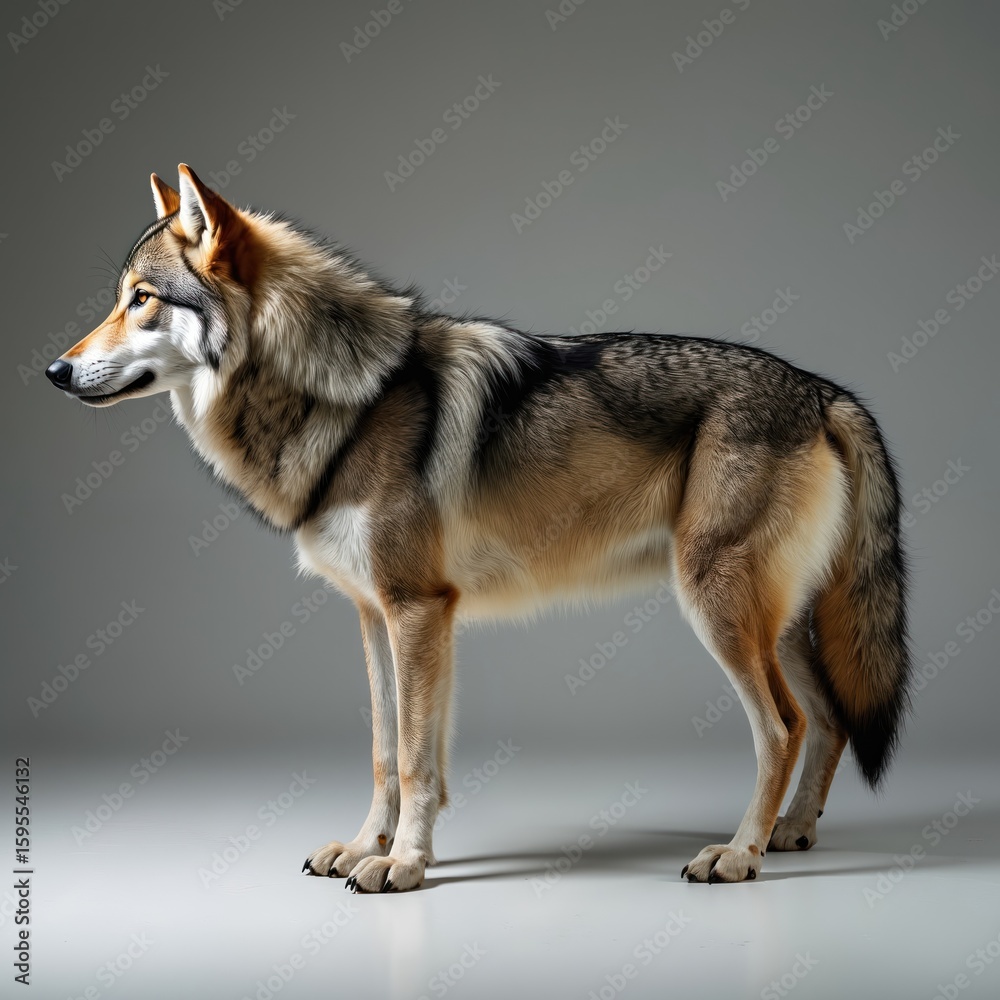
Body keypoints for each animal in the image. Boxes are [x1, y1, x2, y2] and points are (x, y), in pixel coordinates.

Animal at [45, 165, 911, 890]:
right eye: (119, 297)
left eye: (142, 299)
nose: (53, 370)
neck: (351, 400)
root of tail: (822, 389)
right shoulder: (380, 616)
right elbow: (388, 753)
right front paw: (367, 848)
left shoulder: (418, 611)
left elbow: (416, 762)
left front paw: (401, 867)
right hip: (777, 623)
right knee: (830, 719)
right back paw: (792, 833)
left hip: (720, 610)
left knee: (784, 726)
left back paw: (739, 854)